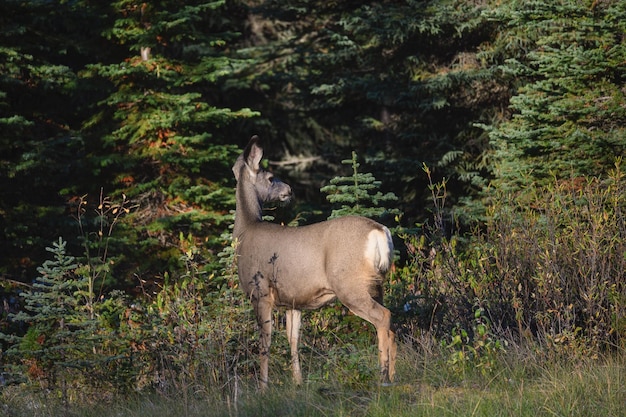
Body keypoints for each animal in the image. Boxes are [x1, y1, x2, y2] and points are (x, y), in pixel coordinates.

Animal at [232, 136, 398, 390]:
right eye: (271, 178)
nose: (289, 190)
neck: (245, 231)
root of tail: (380, 231)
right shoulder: (293, 301)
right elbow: (293, 340)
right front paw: (298, 383)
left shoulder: (260, 292)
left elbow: (265, 342)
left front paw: (263, 387)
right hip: (377, 285)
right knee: (391, 326)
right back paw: (395, 375)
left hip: (349, 285)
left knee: (383, 317)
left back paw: (383, 378)